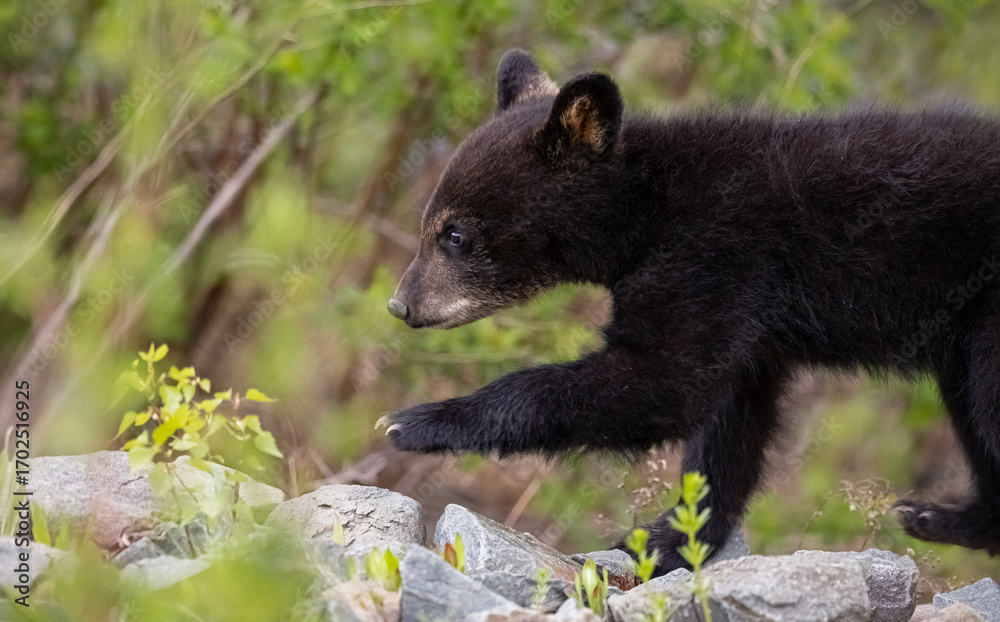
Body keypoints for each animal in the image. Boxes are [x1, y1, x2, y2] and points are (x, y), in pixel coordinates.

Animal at [382, 49, 1000, 574]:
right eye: (429, 222)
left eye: (454, 234)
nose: (401, 304)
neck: (644, 211)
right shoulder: (746, 316)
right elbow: (730, 417)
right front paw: (669, 539)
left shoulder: (712, 255)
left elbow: (662, 381)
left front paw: (418, 421)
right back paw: (940, 517)